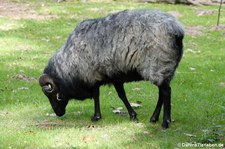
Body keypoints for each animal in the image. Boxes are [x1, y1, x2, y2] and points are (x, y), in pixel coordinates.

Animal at [39, 9, 184, 128]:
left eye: (51, 94)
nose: (58, 113)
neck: (69, 64)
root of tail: (176, 30)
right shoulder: (111, 76)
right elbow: (116, 95)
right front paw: (132, 115)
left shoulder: (95, 75)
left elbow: (102, 95)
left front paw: (97, 117)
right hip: (164, 68)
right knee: (162, 93)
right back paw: (154, 118)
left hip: (158, 65)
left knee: (166, 92)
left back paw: (165, 122)